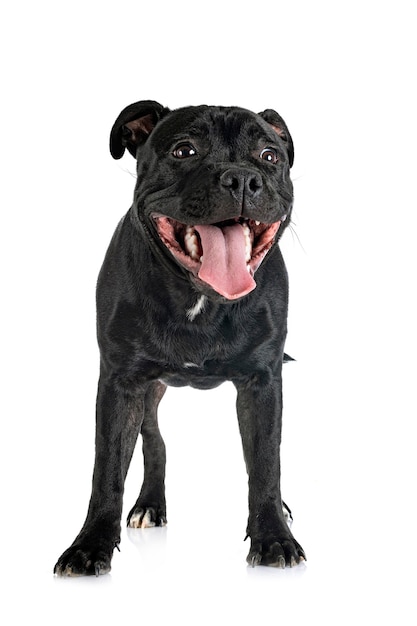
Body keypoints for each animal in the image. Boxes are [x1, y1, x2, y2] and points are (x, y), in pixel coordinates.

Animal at [53, 100, 304, 572]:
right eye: (184, 150)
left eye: (269, 156)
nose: (241, 178)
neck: (201, 301)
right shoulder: (120, 385)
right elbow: (107, 468)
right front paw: (89, 545)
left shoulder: (263, 383)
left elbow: (266, 462)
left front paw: (273, 536)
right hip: (148, 392)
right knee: (155, 442)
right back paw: (150, 504)